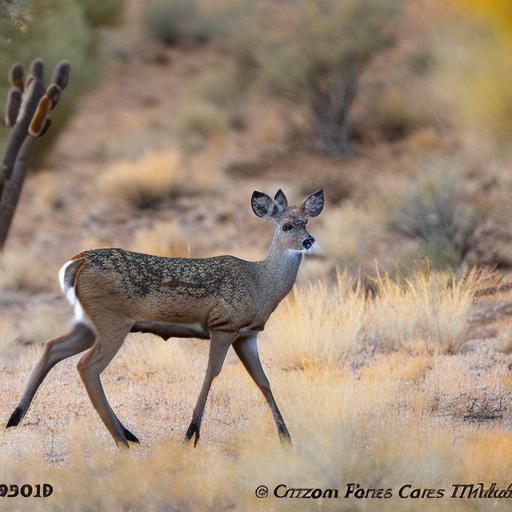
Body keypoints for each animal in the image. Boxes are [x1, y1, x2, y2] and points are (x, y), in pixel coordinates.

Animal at [6, 189, 324, 448]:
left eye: (307, 222)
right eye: (287, 225)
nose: (309, 241)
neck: (261, 284)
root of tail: (78, 261)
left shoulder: (247, 334)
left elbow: (263, 381)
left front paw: (286, 437)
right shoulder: (223, 325)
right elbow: (212, 373)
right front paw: (191, 433)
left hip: (89, 323)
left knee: (53, 347)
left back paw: (16, 418)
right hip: (112, 321)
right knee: (87, 366)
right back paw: (123, 439)